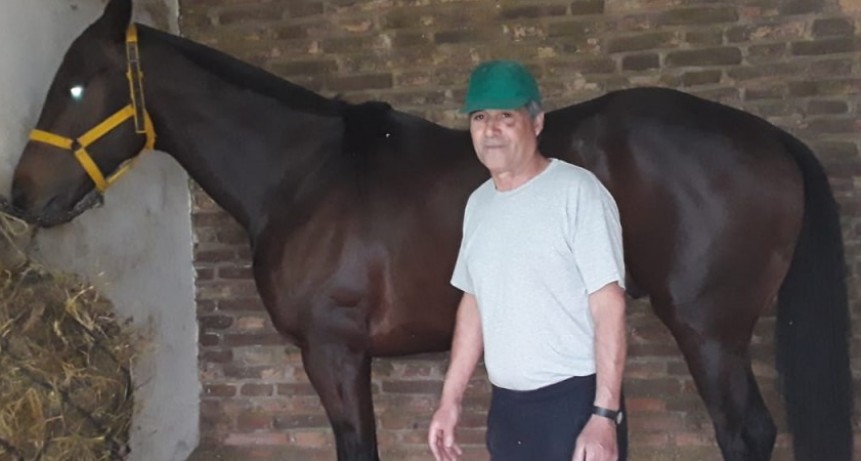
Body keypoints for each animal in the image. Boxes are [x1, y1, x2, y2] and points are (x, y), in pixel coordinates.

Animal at [5, 1, 852, 460]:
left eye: (76, 86)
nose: (21, 196)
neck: (304, 172)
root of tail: (766, 137)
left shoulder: (334, 351)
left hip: (708, 329)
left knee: (745, 432)